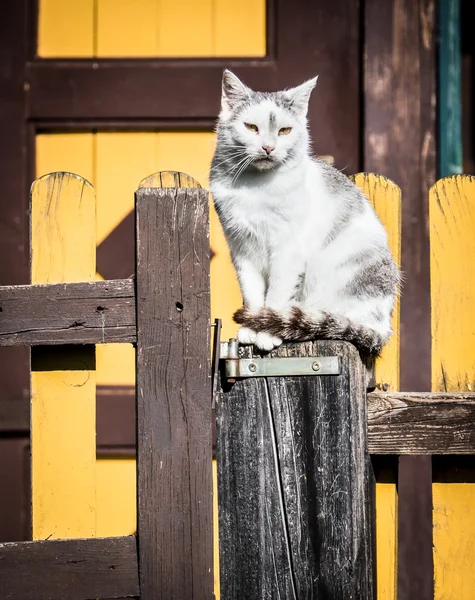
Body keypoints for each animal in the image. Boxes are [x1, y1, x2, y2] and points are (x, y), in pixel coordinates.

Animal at [210, 69, 400, 354]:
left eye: (285, 130)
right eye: (251, 127)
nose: (268, 147)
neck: (255, 186)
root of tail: (382, 328)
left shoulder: (287, 251)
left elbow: (277, 292)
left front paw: (267, 332)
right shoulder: (241, 247)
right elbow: (252, 292)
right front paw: (251, 328)